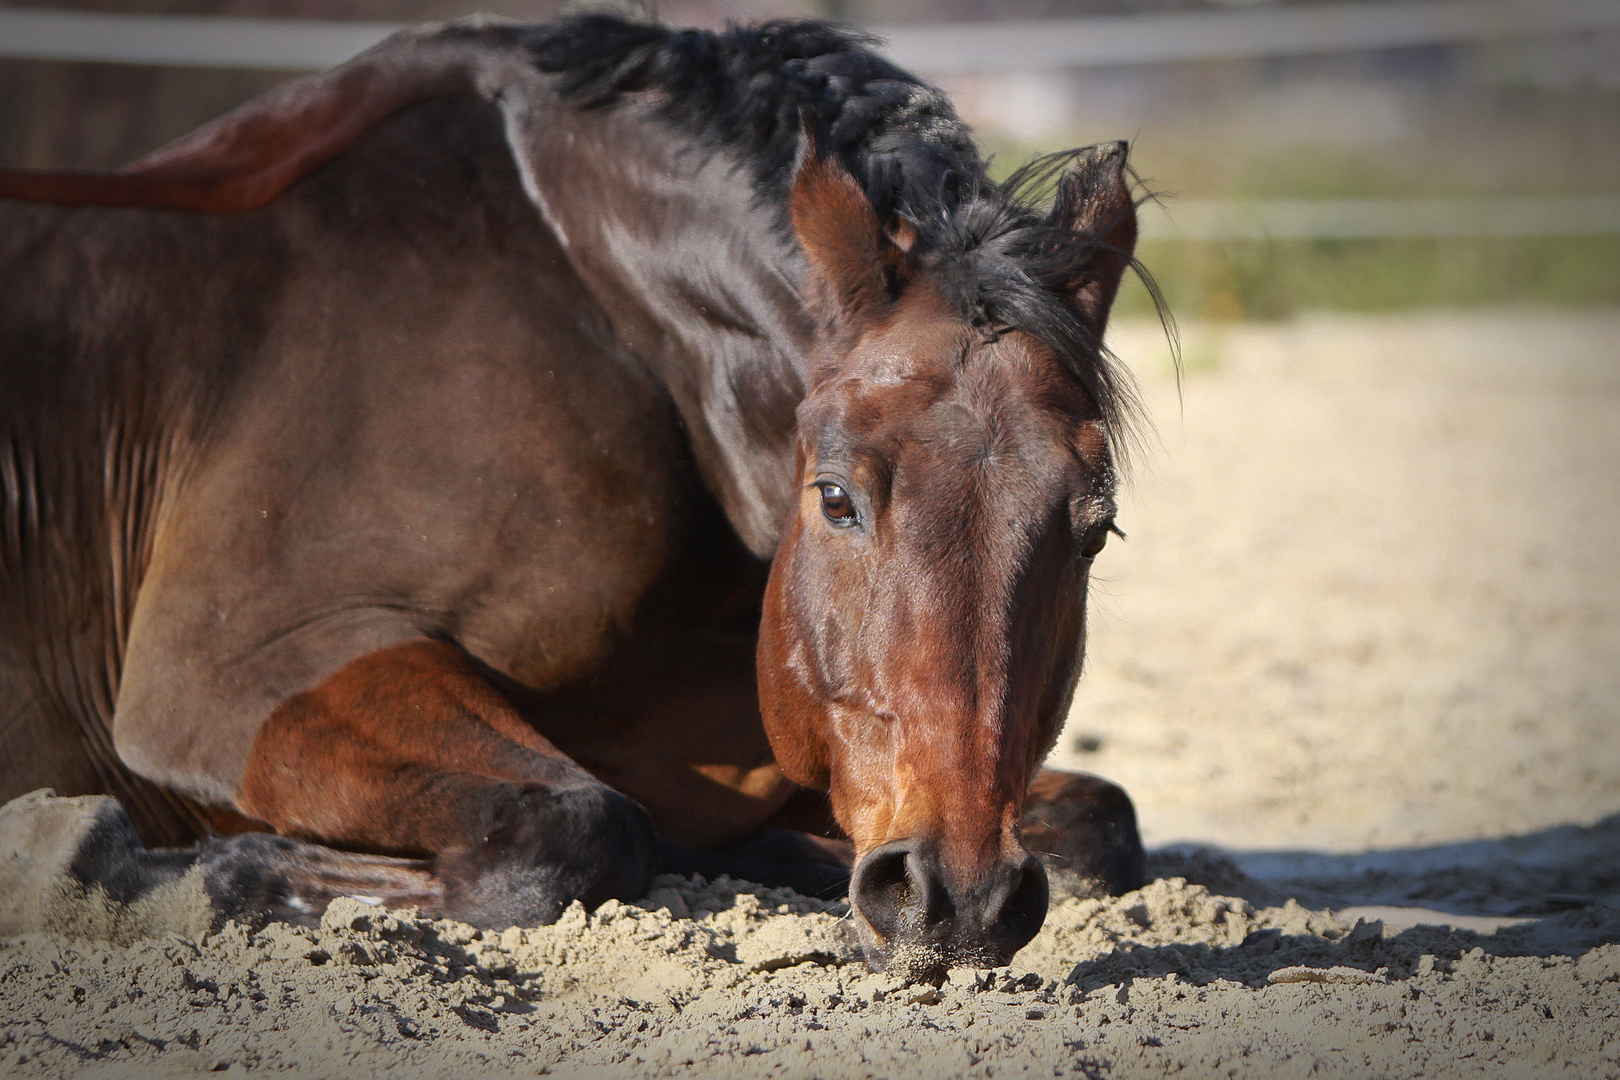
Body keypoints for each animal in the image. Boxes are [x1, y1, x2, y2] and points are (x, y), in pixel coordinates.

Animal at [3, 14, 1153, 977]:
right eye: (835, 499)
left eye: (1094, 530)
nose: (956, 899)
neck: (611, 314)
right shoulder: (231, 675)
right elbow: (583, 827)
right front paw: (108, 858)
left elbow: (1104, 823)